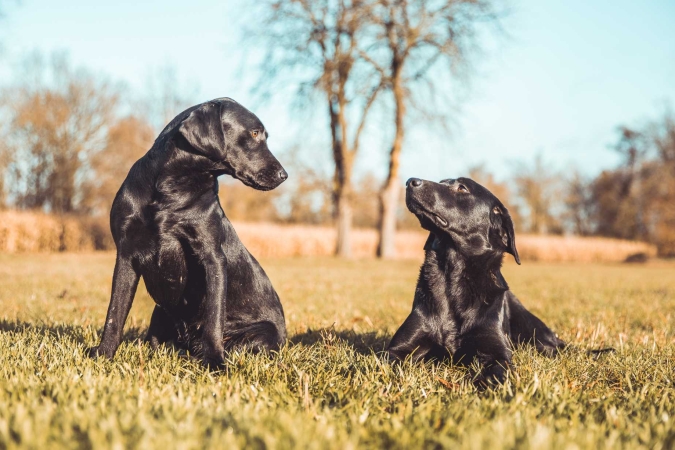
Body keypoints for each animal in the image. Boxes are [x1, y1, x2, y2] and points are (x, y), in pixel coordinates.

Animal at [88, 97, 288, 366]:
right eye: (255, 133)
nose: (284, 175)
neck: (171, 188)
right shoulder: (126, 255)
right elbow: (114, 314)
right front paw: (103, 354)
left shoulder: (212, 258)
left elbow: (213, 321)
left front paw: (215, 364)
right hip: (160, 311)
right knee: (157, 343)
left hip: (262, 336)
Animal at [388, 178, 568, 384]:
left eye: (462, 188)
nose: (410, 181)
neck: (453, 276)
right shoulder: (399, 349)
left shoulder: (496, 352)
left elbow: (497, 373)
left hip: (534, 334)